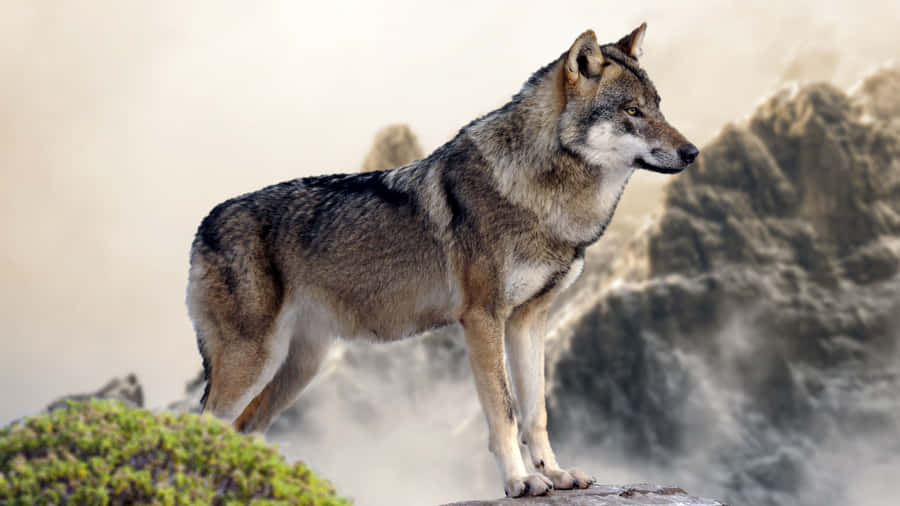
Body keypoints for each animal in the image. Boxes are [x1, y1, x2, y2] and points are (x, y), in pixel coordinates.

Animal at [187, 23, 697, 498]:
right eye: (632, 111)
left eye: (658, 106)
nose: (692, 152)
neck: (541, 195)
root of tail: (203, 225)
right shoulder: (483, 318)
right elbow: (505, 412)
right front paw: (520, 481)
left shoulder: (529, 320)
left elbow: (536, 411)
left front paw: (554, 474)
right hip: (254, 361)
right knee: (203, 426)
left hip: (298, 368)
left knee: (244, 430)